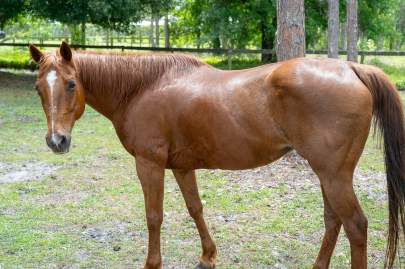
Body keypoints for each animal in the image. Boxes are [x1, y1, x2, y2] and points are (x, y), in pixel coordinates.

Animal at [28, 40, 404, 266]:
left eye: (71, 84)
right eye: (38, 88)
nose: (56, 141)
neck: (141, 88)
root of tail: (352, 68)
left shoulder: (149, 164)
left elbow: (154, 216)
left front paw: (153, 263)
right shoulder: (181, 167)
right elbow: (195, 208)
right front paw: (208, 256)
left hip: (334, 175)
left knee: (355, 226)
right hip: (327, 174)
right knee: (333, 220)